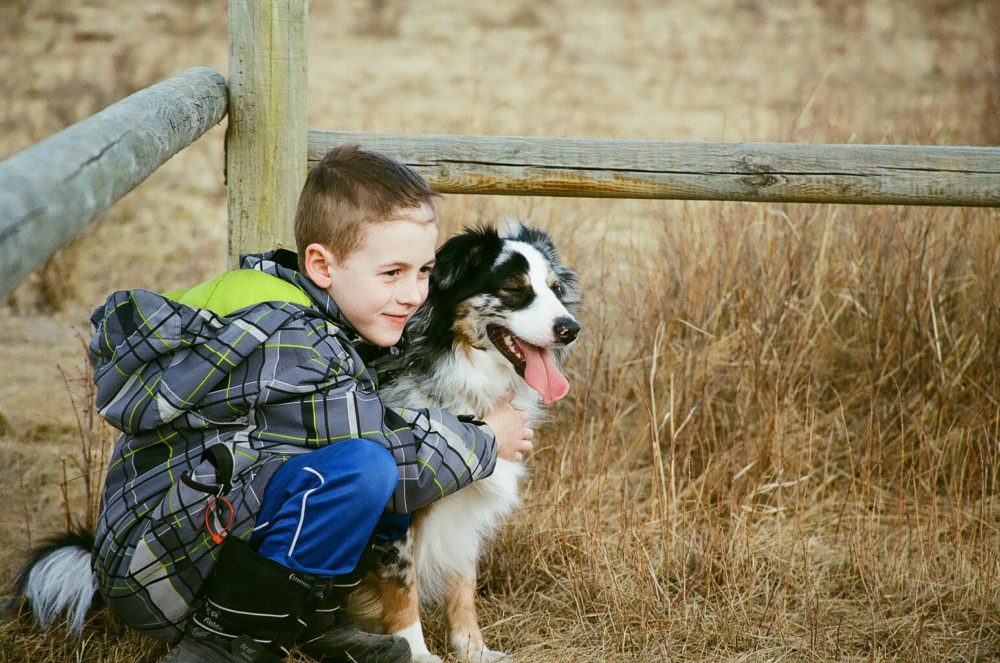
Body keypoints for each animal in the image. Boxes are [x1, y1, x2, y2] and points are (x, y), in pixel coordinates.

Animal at [350, 220, 584, 660]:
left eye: (555, 288)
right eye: (513, 289)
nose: (571, 329)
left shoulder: (467, 502)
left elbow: (464, 579)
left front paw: (473, 648)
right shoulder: (400, 505)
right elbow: (402, 582)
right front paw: (417, 652)